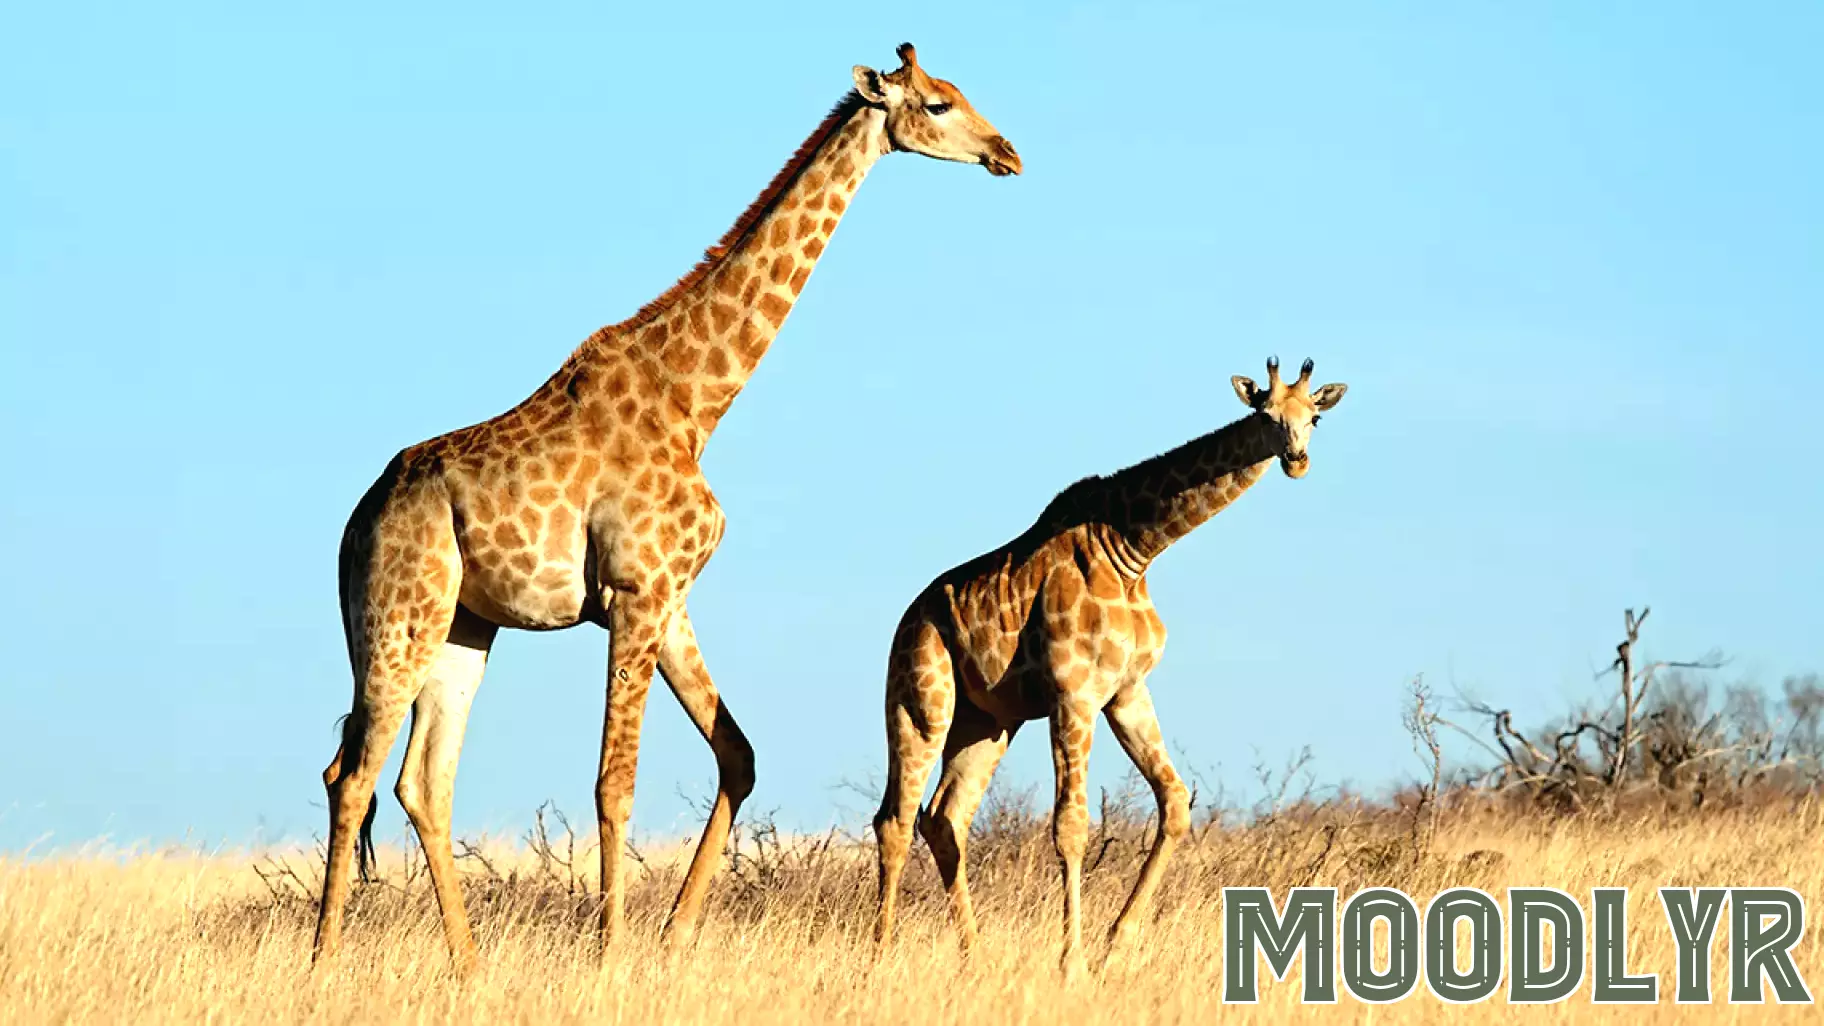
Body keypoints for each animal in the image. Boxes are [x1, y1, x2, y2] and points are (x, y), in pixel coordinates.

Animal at [311, 43, 1021, 974]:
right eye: (938, 103)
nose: (1007, 153)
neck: (697, 399)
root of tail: (356, 522)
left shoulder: (670, 598)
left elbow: (739, 755)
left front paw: (674, 931)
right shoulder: (635, 593)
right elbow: (616, 782)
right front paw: (611, 948)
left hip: (465, 625)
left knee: (418, 780)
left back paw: (467, 963)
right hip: (401, 616)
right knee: (354, 774)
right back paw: (323, 956)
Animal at [871, 357, 1348, 977]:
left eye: (1314, 416)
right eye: (1265, 414)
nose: (1296, 459)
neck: (1134, 551)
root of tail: (909, 618)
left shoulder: (1126, 691)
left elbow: (1175, 804)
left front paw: (1116, 943)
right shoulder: (1072, 693)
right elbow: (1071, 826)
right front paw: (1071, 960)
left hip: (987, 722)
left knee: (945, 819)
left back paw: (973, 956)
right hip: (922, 700)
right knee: (896, 818)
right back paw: (878, 954)